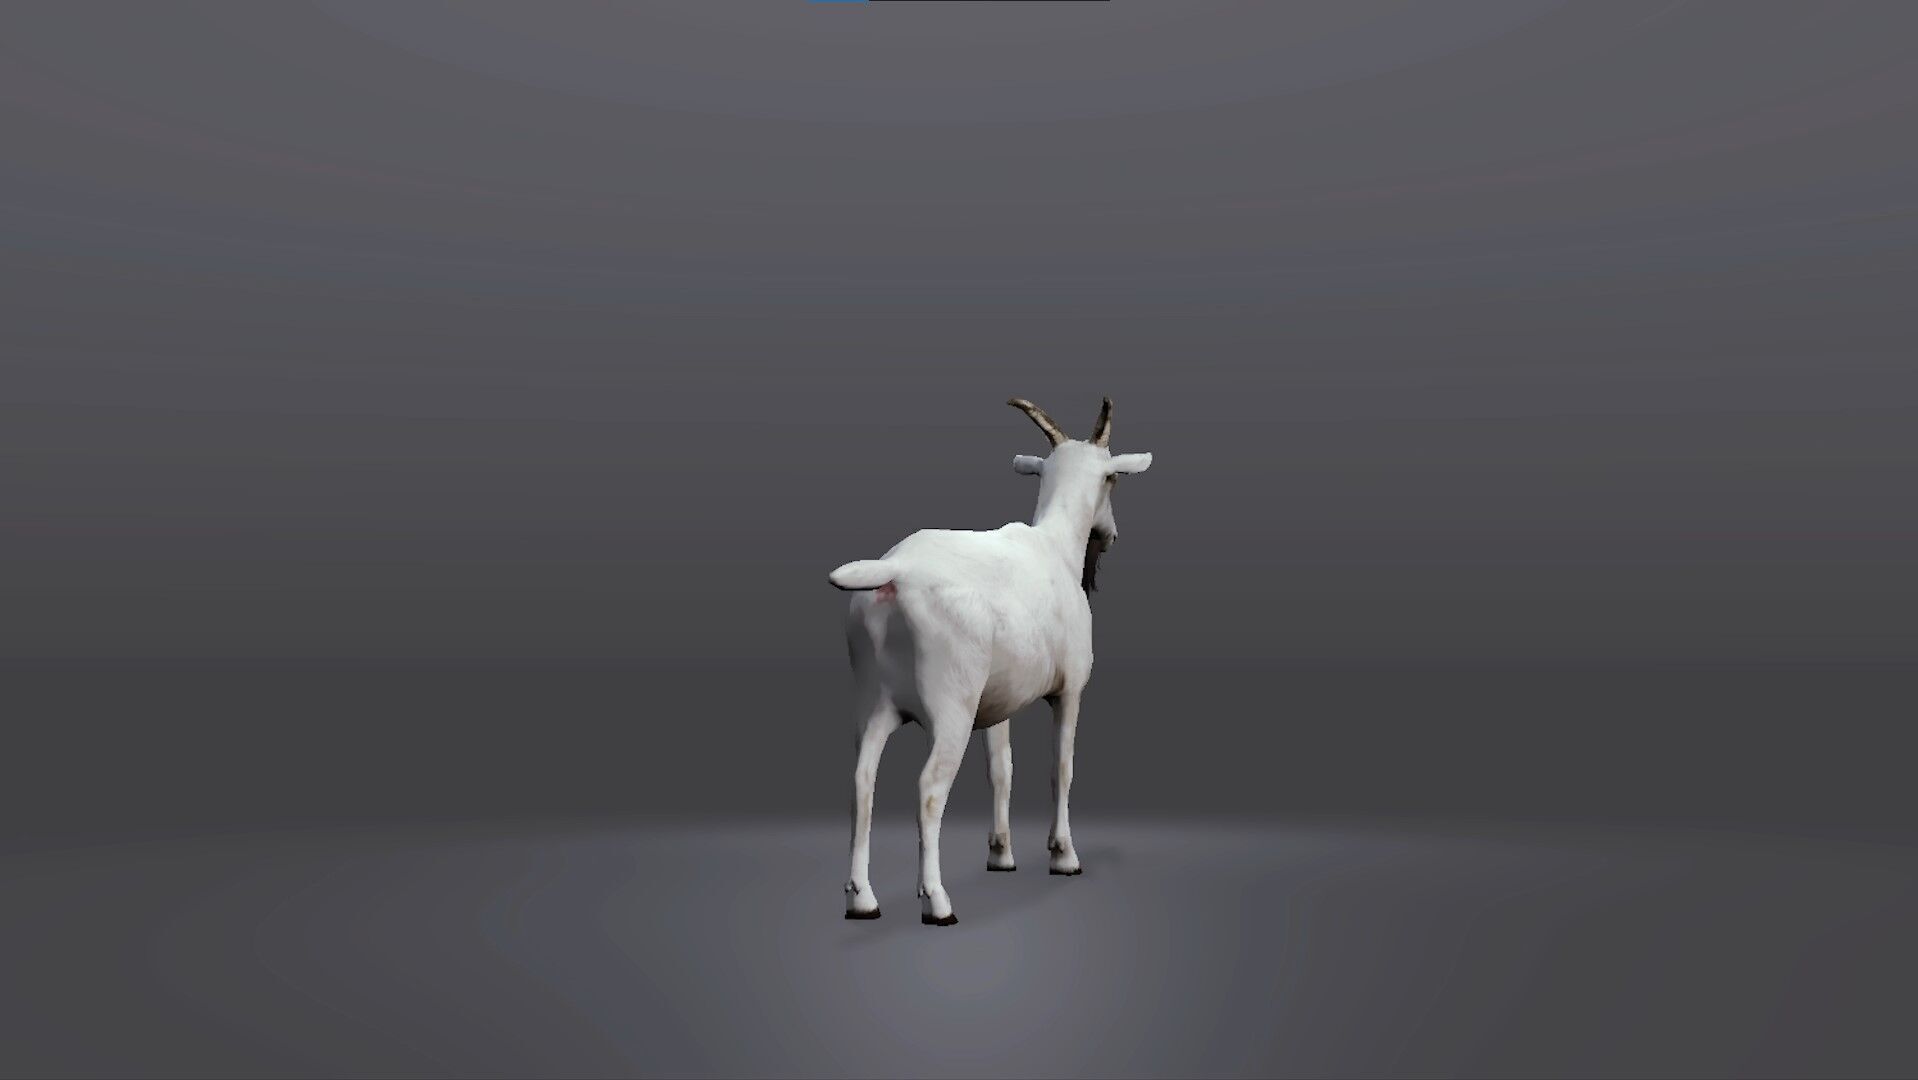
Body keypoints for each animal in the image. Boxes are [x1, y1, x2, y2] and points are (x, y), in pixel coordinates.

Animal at [829, 396, 1154, 925]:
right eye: (1113, 478)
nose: (1109, 536)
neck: (1055, 546)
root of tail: (893, 572)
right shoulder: (1069, 688)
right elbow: (1060, 766)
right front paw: (1064, 856)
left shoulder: (998, 700)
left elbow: (1001, 769)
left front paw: (1001, 854)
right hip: (950, 706)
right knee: (929, 789)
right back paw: (937, 901)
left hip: (872, 700)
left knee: (862, 780)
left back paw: (862, 899)